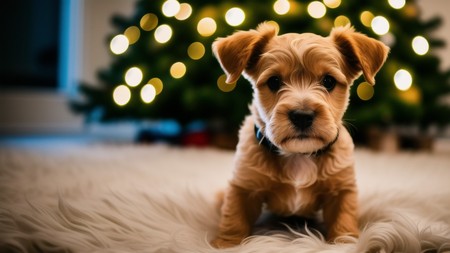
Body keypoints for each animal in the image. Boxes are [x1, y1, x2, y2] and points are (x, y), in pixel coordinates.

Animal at [211, 22, 390, 248]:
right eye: (274, 81)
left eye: (328, 81)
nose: (302, 116)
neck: (297, 155)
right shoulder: (242, 187)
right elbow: (234, 216)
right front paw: (227, 244)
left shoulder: (342, 190)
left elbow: (344, 217)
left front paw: (345, 243)